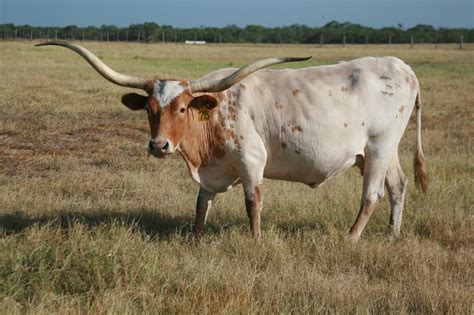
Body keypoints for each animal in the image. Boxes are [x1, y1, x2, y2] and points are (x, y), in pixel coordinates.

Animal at [37, 42, 428, 242]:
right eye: (149, 108)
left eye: (182, 108)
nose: (159, 146)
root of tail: (403, 67)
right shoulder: (212, 171)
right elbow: (201, 203)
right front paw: (195, 238)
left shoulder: (252, 162)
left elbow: (252, 203)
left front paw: (255, 242)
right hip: (383, 151)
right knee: (398, 185)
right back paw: (391, 236)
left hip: (378, 147)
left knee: (372, 195)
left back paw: (350, 238)